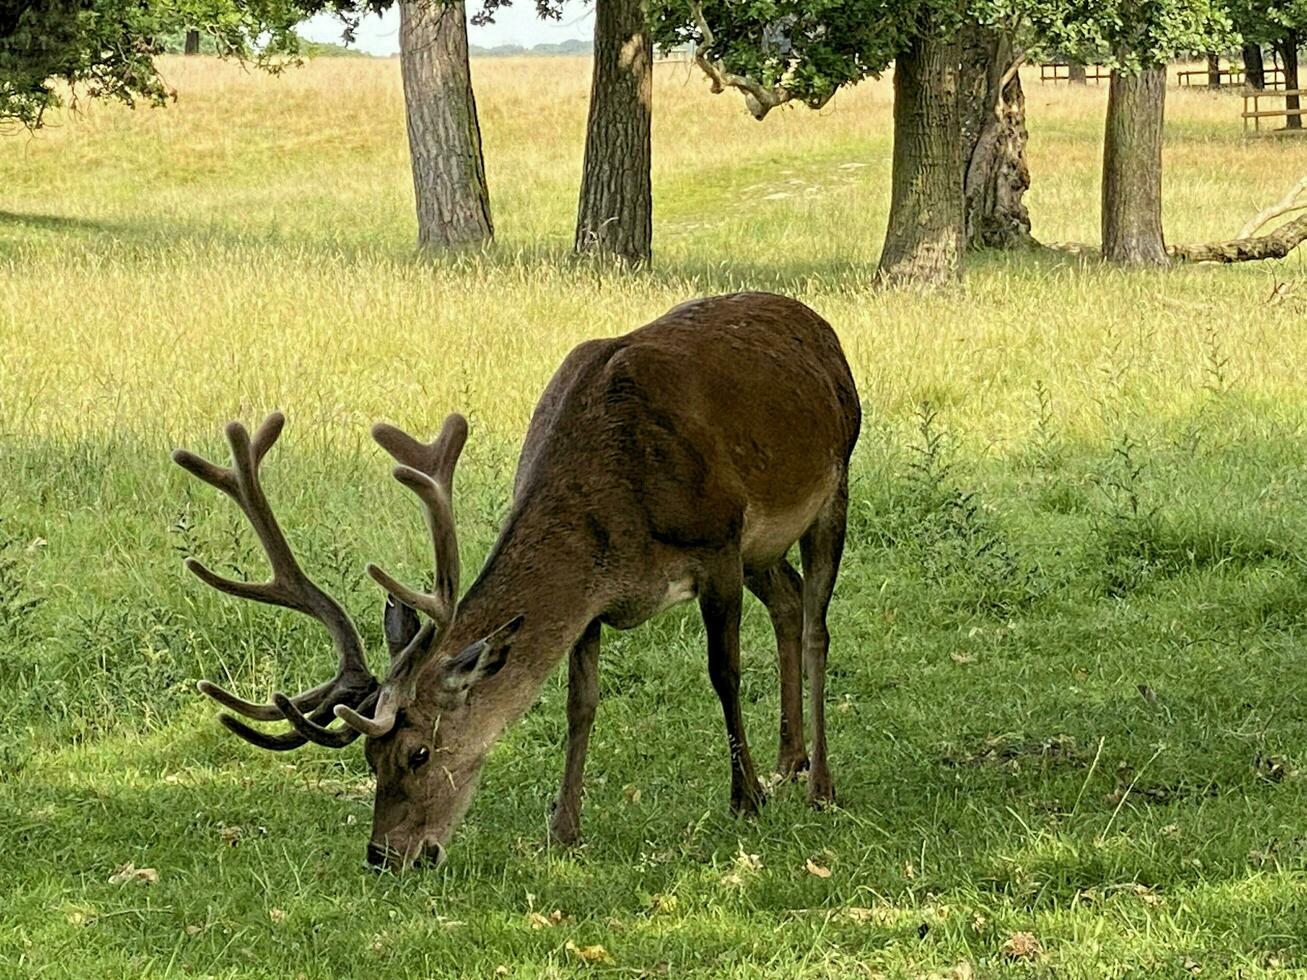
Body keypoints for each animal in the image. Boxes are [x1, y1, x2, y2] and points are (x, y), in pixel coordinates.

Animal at [179, 294, 862, 872]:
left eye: (417, 753)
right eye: (369, 759)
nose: (384, 855)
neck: (617, 512)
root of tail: (820, 325)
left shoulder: (717, 544)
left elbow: (724, 673)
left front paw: (745, 799)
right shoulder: (595, 601)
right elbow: (580, 704)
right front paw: (563, 829)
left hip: (830, 485)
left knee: (817, 624)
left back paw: (819, 784)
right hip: (763, 549)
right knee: (789, 601)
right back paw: (790, 761)